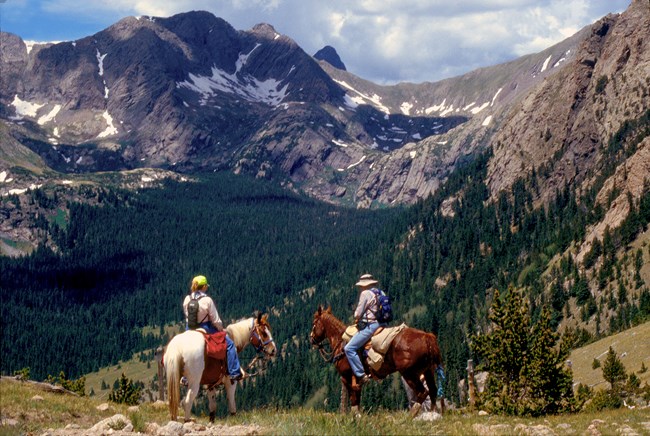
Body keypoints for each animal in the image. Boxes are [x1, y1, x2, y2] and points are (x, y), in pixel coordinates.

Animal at [308, 304, 440, 418]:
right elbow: (357, 400)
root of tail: (426, 337)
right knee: (433, 391)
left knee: (423, 393)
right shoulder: (356, 381)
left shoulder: (346, 377)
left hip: (409, 373)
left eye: (314, 323)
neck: (341, 344)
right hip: (428, 371)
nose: (311, 339)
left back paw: (409, 417)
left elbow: (353, 401)